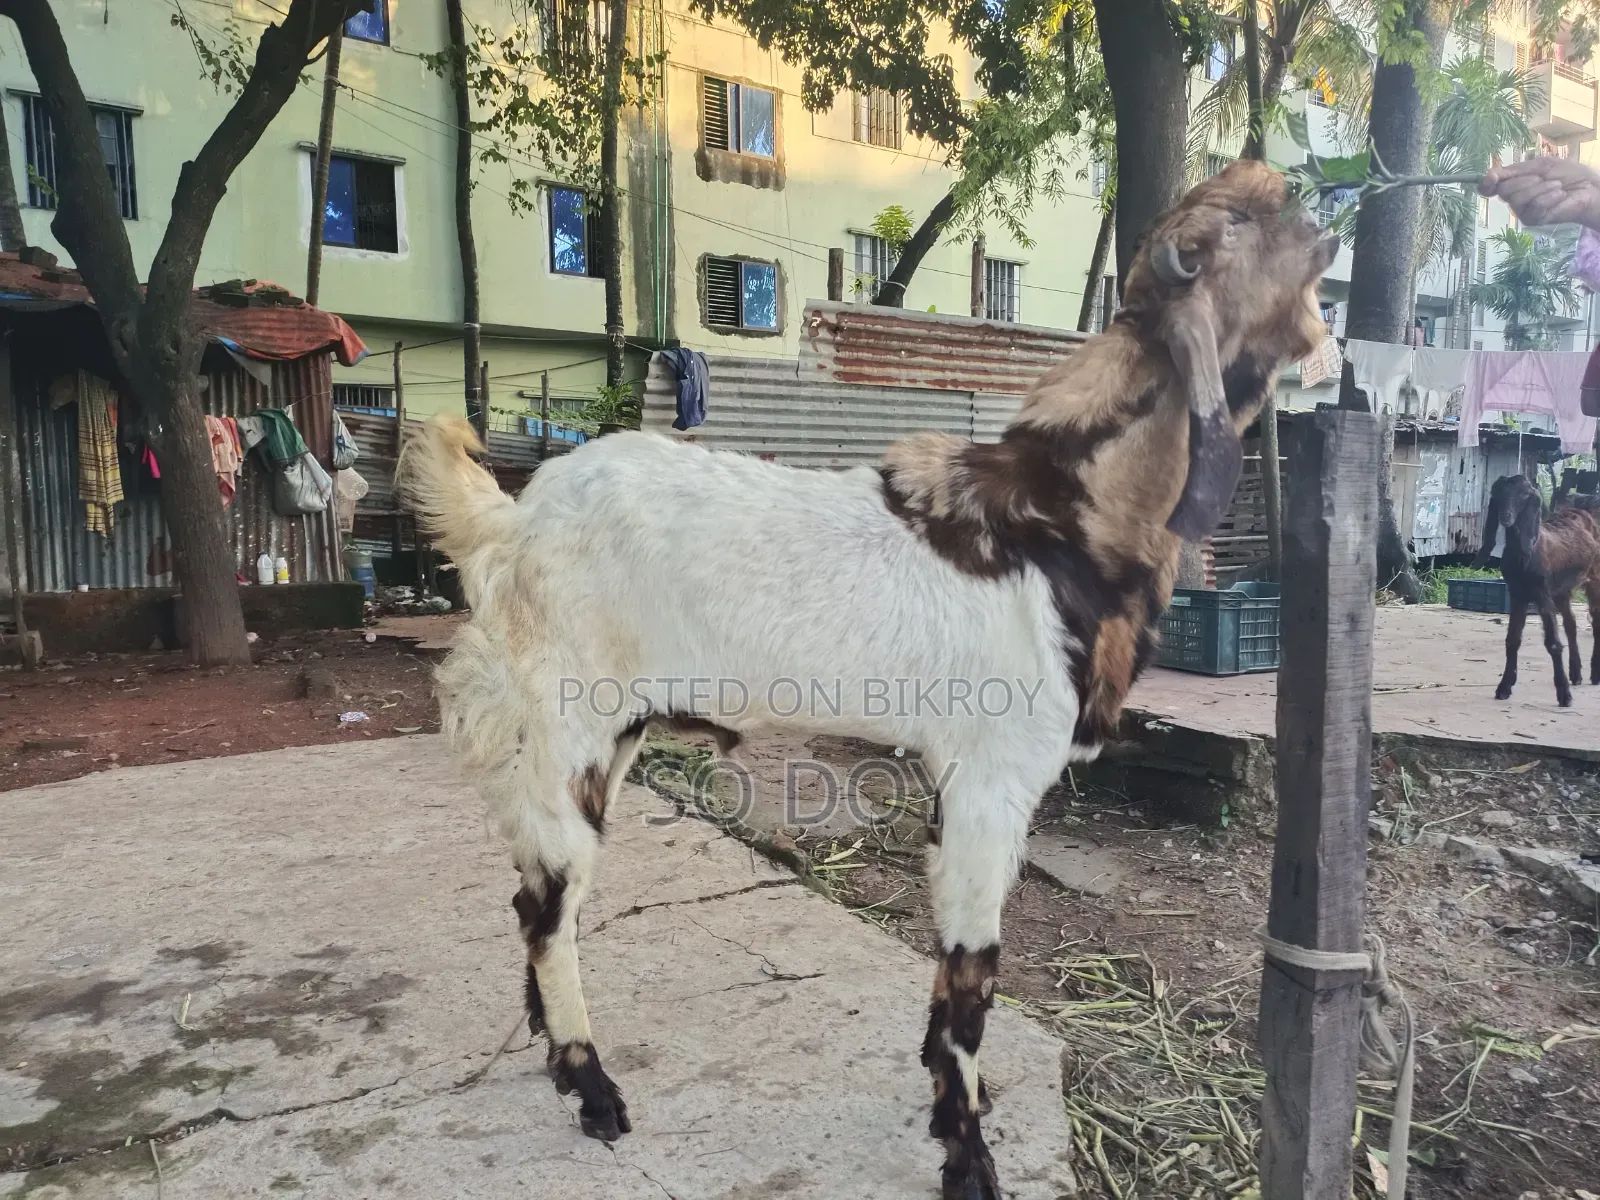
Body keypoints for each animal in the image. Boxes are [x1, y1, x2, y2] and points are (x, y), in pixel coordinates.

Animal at [399, 160, 1338, 1200]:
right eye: (1235, 227)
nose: (1322, 209)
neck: (1065, 516)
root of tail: (510, 523)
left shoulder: (961, 779)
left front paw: (952, 1098)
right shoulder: (994, 776)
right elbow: (975, 968)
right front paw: (968, 1154)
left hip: (600, 732)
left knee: (531, 886)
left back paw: (549, 1049)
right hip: (570, 721)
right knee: (550, 901)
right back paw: (591, 1085)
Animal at [1475, 474, 1600, 706]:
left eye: (1524, 494)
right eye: (1498, 493)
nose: (1505, 516)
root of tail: (1585, 512)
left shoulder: (1542, 594)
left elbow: (1553, 643)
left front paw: (1564, 695)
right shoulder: (1517, 594)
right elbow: (1512, 640)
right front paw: (1504, 687)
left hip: (1594, 580)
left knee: (1595, 622)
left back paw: (1594, 674)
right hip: (1561, 590)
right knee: (1570, 623)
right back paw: (1576, 674)